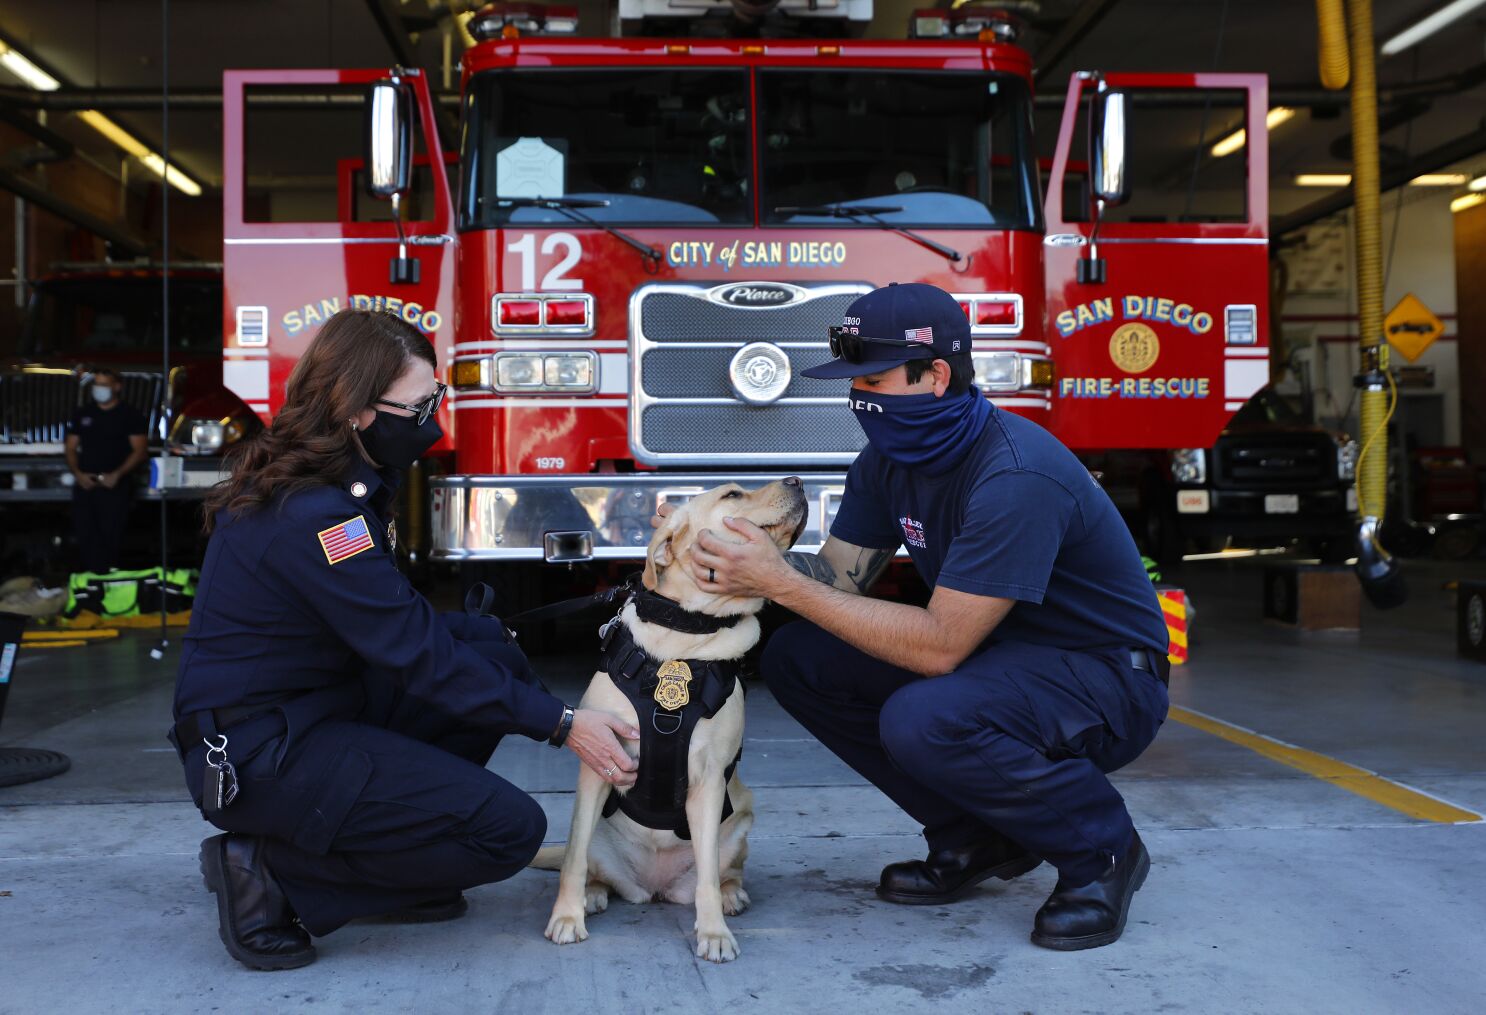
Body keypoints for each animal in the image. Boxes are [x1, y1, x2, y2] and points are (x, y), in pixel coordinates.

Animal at [540, 481, 808, 962]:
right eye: (733, 494)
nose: (796, 481)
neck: (685, 634)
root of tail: (654, 887)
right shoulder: (598, 764)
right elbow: (571, 862)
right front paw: (566, 917)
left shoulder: (708, 782)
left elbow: (706, 881)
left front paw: (714, 933)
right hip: (599, 839)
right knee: (587, 862)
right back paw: (592, 894)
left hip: (738, 827)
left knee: (719, 874)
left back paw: (730, 896)